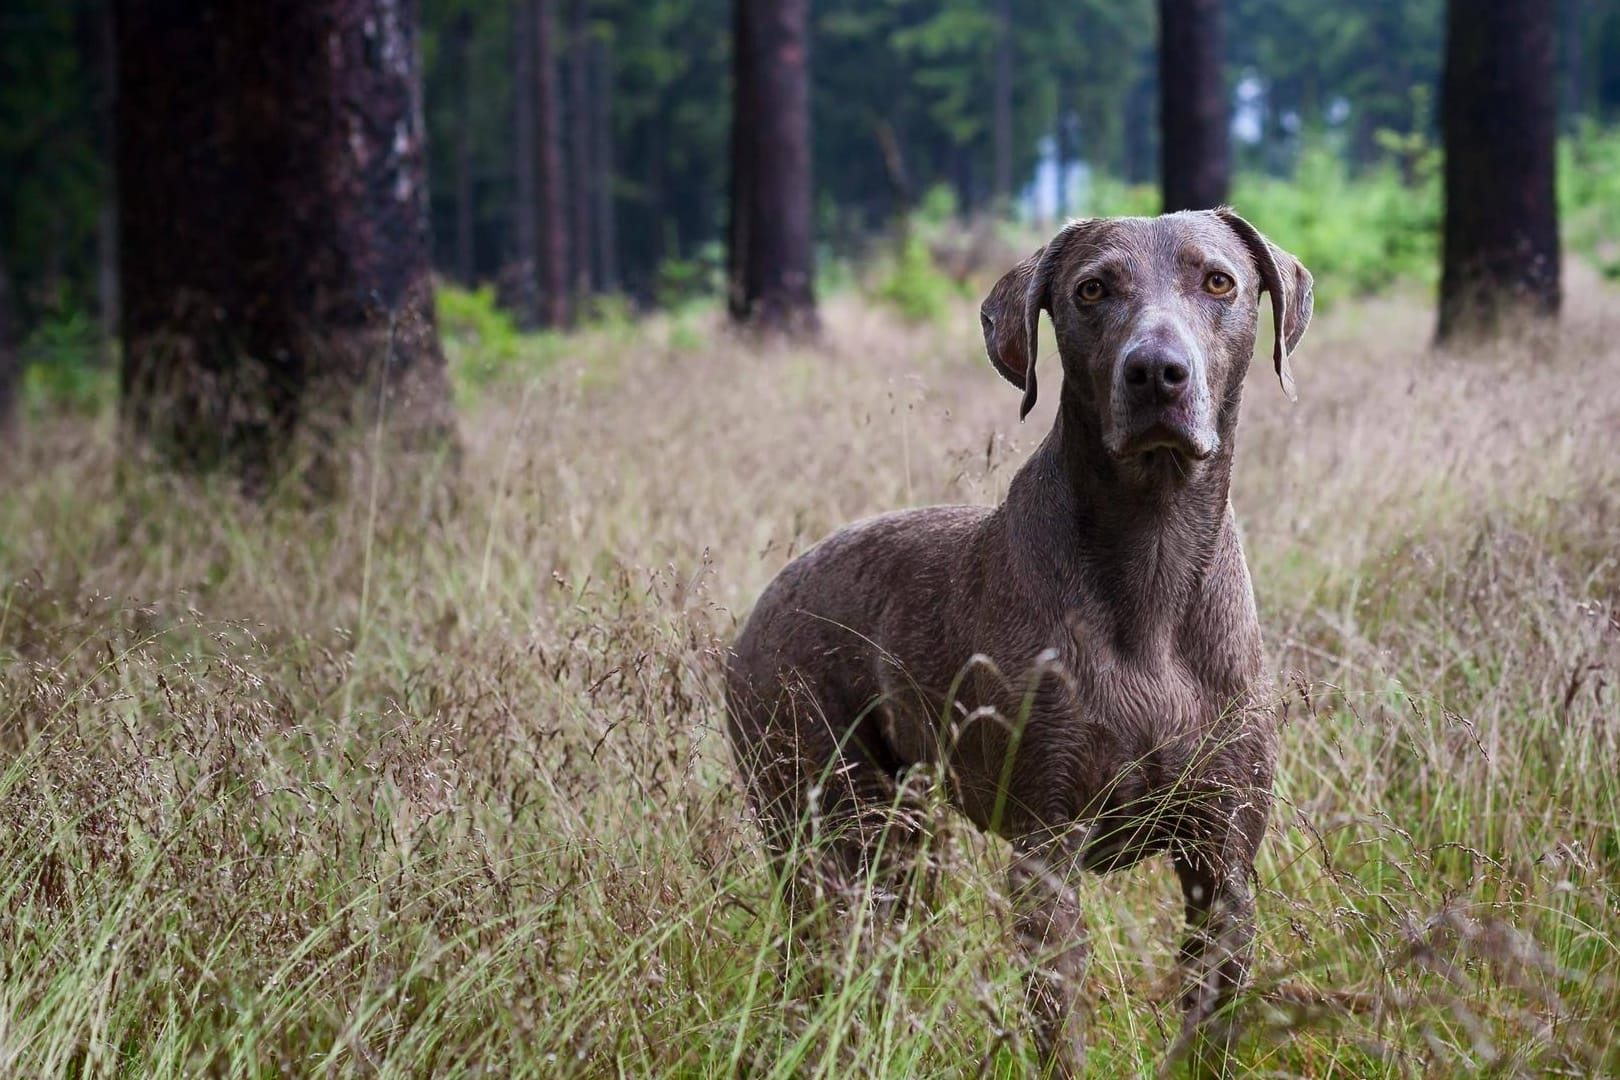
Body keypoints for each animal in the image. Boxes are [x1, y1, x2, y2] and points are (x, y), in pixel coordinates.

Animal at [729, 208, 1308, 1075]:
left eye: (1219, 282)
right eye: (1092, 290)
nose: (1156, 373)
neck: (1153, 562)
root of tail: (759, 609)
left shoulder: (1223, 859)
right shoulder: (1046, 855)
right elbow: (1058, 1029)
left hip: (906, 838)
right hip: (824, 827)